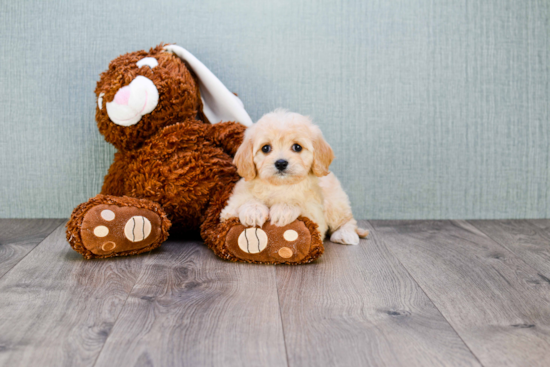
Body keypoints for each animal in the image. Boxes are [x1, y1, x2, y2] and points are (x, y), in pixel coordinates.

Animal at [221, 110, 370, 247]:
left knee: (348, 220)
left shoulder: (316, 215)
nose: (281, 163)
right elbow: (244, 202)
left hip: (335, 203)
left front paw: (283, 209)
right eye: (265, 148)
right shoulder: (228, 210)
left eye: (297, 147)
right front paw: (253, 211)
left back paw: (345, 234)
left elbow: (299, 204)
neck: (279, 186)